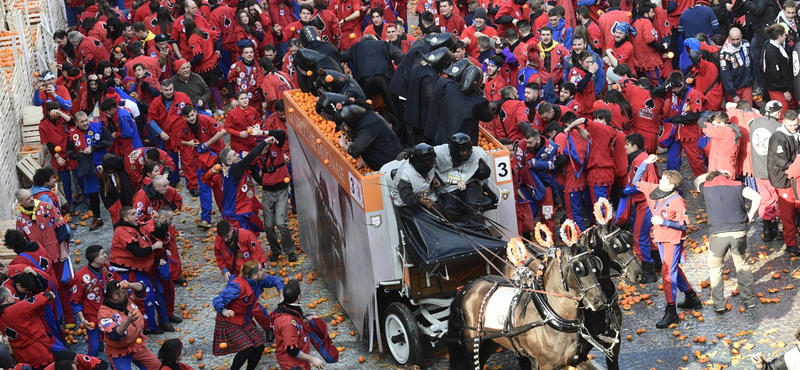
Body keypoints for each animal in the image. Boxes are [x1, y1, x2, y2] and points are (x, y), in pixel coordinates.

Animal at [446, 243, 608, 370]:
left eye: (595, 265)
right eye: (578, 269)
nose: (600, 301)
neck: (548, 316)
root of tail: (467, 287)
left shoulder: (577, 359)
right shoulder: (546, 365)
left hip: (490, 342)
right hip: (471, 346)